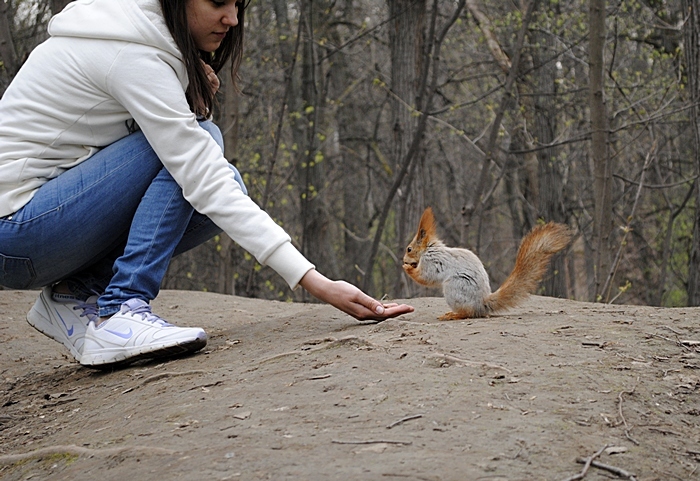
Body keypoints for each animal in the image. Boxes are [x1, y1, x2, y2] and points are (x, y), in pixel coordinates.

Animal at [402, 206, 572, 318]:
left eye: (409, 249)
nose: (403, 259)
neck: (429, 249)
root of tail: (482, 304)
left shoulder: (432, 261)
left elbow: (425, 277)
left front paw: (407, 268)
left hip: (454, 288)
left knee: (468, 313)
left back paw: (453, 315)